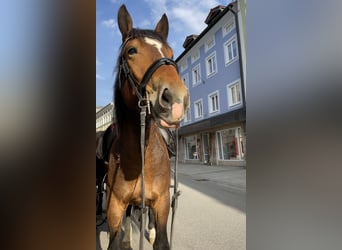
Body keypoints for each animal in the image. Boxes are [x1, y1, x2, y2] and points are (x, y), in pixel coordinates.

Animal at [106, 3, 190, 250]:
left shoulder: (161, 202)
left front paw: (152, 234)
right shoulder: (115, 207)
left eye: (170, 54)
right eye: (131, 51)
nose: (176, 99)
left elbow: (161, 240)